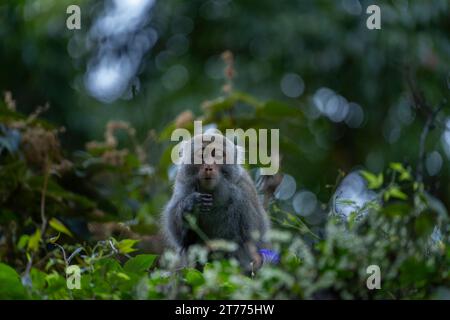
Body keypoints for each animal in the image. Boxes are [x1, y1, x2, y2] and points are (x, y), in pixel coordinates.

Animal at [163, 131, 272, 272]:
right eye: (201, 155)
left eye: (218, 155)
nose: (209, 167)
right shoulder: (183, 184)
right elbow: (178, 235)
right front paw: (190, 204)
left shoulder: (244, 191)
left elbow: (247, 239)